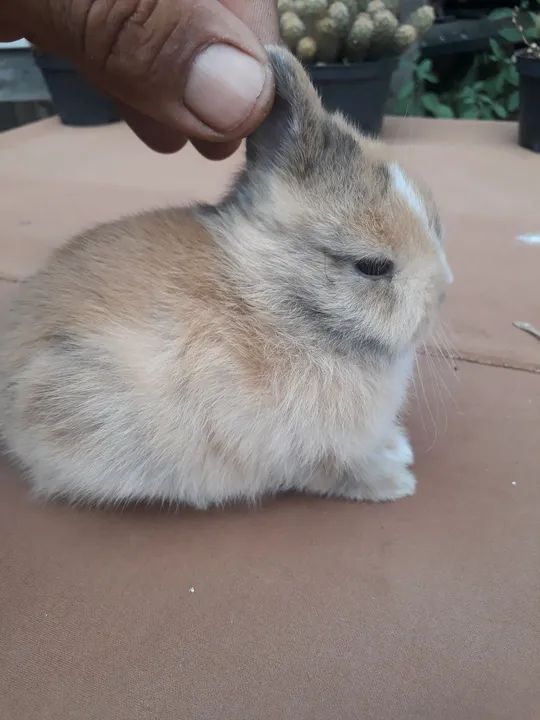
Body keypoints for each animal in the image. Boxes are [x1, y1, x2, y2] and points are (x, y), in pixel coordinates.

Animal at [0, 45, 452, 508]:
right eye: (372, 266)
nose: (442, 293)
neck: (280, 302)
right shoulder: (308, 451)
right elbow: (339, 472)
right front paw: (396, 482)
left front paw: (397, 448)